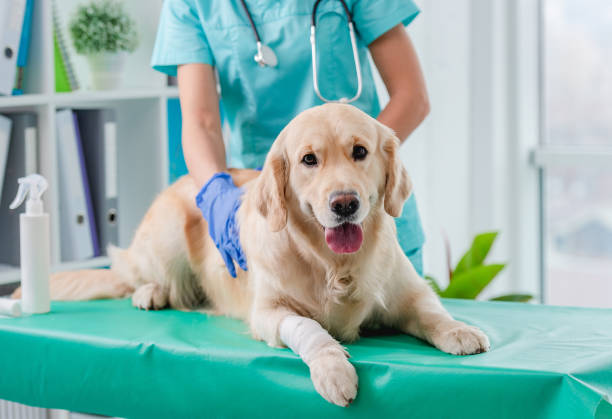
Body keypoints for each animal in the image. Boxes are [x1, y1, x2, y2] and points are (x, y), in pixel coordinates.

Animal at [14, 104, 490, 406]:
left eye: (360, 151)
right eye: (309, 160)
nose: (344, 203)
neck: (333, 266)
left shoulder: (408, 292)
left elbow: (431, 311)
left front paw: (460, 330)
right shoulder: (269, 313)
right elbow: (309, 329)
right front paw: (333, 369)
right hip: (166, 233)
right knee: (135, 273)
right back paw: (151, 292)